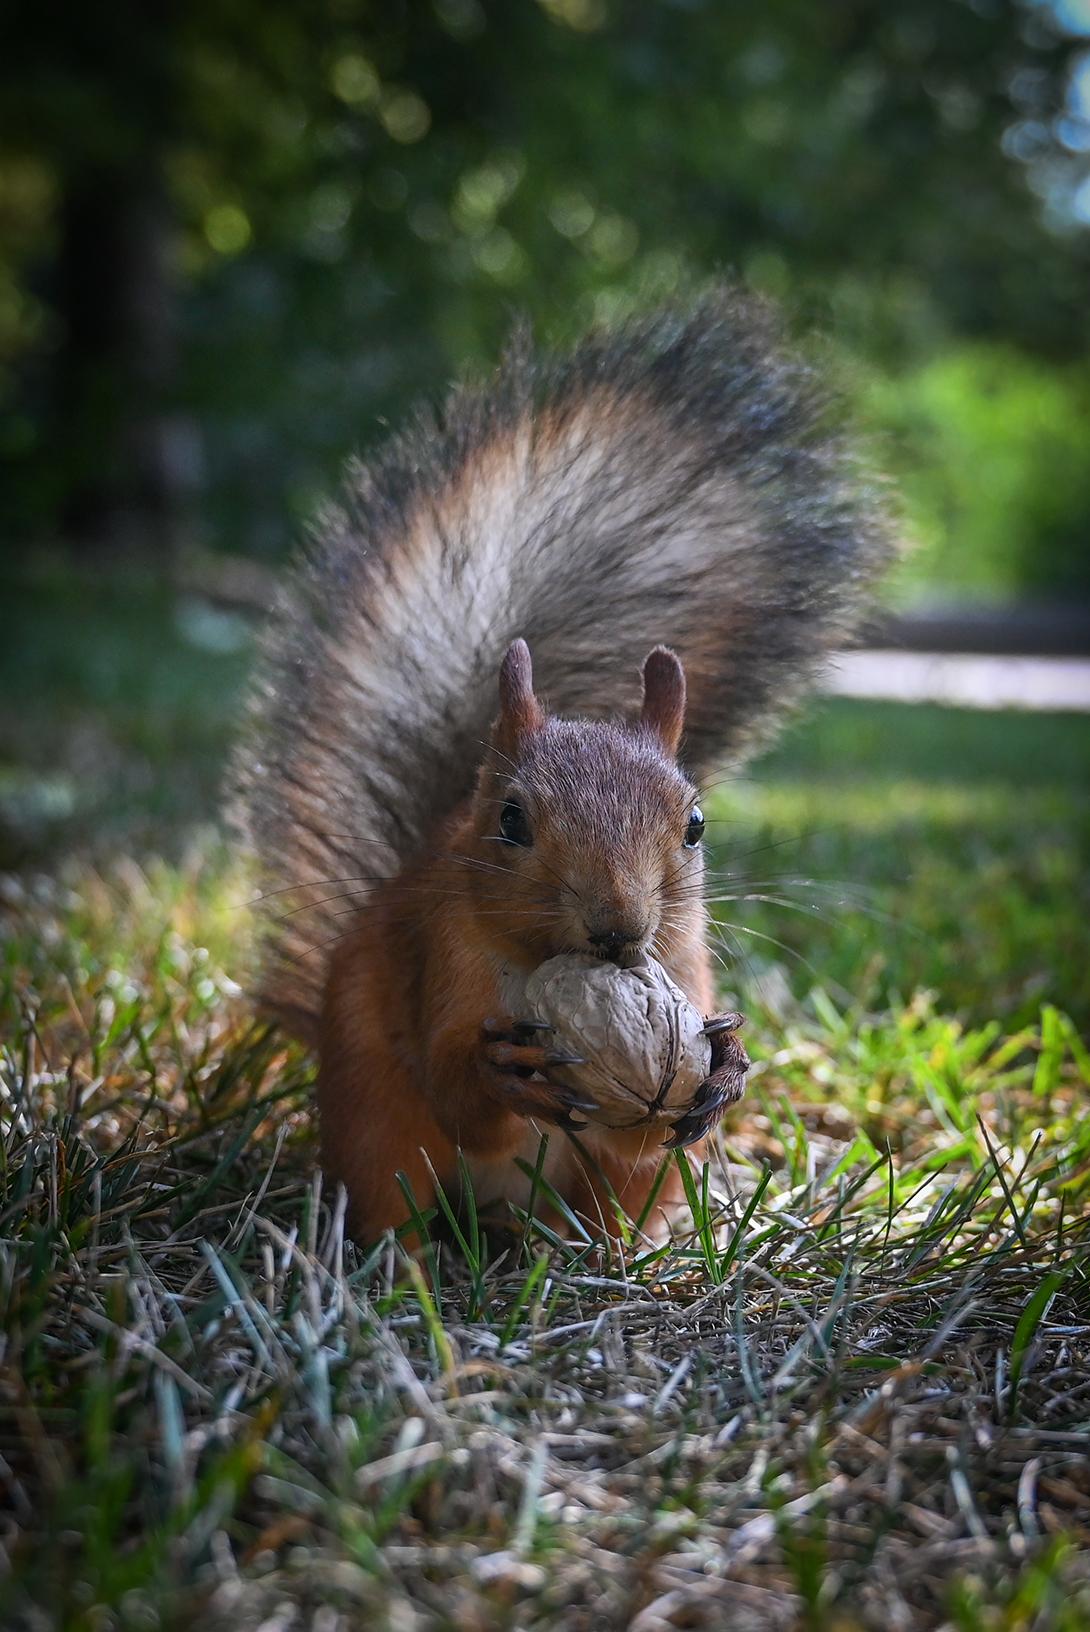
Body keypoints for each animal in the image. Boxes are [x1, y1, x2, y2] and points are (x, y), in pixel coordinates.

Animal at [236, 287, 887, 1240]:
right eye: (511, 820)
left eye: (695, 826)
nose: (618, 926)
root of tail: (505, 1215)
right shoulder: (443, 964)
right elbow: (457, 1091)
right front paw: (500, 1074)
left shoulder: (684, 967)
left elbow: (654, 1117)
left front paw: (728, 1064)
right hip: (370, 1118)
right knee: (391, 1197)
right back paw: (397, 1259)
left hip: (620, 1188)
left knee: (621, 1195)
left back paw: (620, 1260)